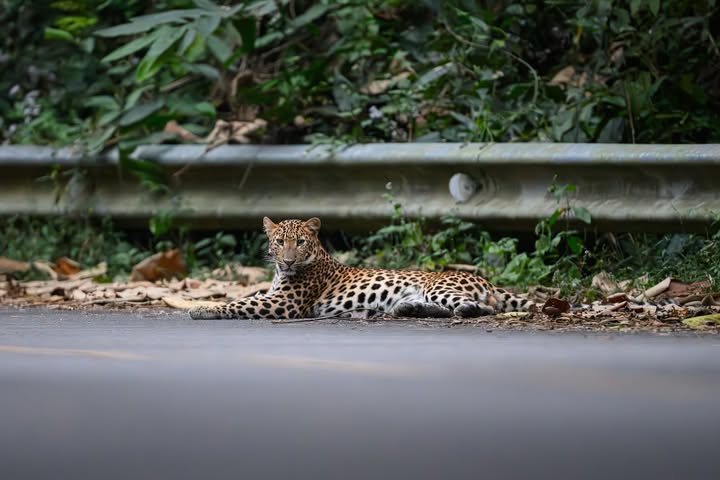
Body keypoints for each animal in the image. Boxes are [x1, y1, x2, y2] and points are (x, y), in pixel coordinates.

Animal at [188, 218, 536, 318]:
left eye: (299, 242)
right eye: (278, 241)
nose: (287, 260)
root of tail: (485, 280)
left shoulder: (283, 304)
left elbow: (240, 304)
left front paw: (205, 309)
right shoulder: (273, 296)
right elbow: (245, 298)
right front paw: (202, 305)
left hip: (439, 287)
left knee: (486, 307)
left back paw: (466, 311)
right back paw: (407, 310)